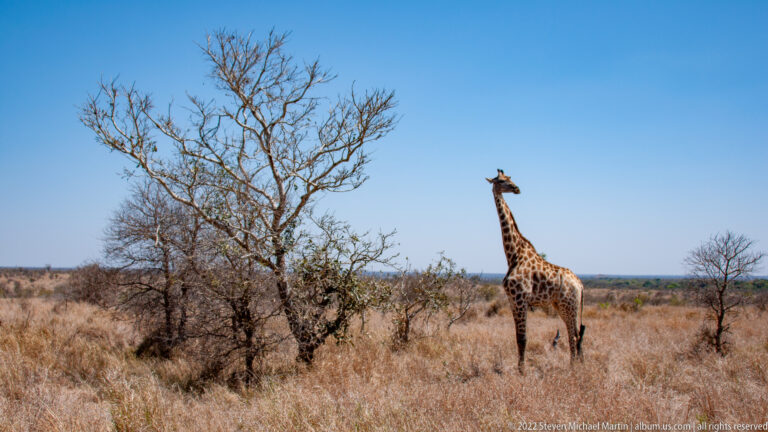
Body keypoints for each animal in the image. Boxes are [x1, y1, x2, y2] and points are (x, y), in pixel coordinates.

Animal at [487, 169, 585, 374]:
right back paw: (576, 364)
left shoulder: (520, 299)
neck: (513, 254)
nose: (517, 188)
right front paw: (520, 368)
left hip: (569, 305)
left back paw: (572, 367)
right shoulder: (513, 301)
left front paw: (522, 371)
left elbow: (523, 338)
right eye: (501, 180)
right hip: (561, 305)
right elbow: (518, 337)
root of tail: (580, 284)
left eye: (509, 179)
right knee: (575, 333)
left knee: (573, 335)